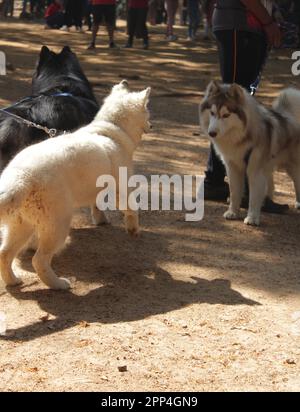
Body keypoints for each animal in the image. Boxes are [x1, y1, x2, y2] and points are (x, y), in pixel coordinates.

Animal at [0, 80, 151, 290]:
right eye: (148, 113)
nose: (152, 125)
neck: (111, 132)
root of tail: (21, 177)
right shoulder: (122, 189)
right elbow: (131, 209)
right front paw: (133, 229)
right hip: (57, 226)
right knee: (39, 260)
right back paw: (58, 284)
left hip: (21, 225)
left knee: (4, 254)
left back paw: (13, 281)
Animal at [199, 81, 300, 225]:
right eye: (212, 113)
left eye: (226, 115)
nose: (211, 133)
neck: (239, 138)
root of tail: (288, 116)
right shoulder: (233, 167)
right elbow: (234, 192)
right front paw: (232, 212)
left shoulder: (255, 170)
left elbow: (253, 197)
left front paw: (252, 217)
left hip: (292, 167)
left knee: (296, 182)